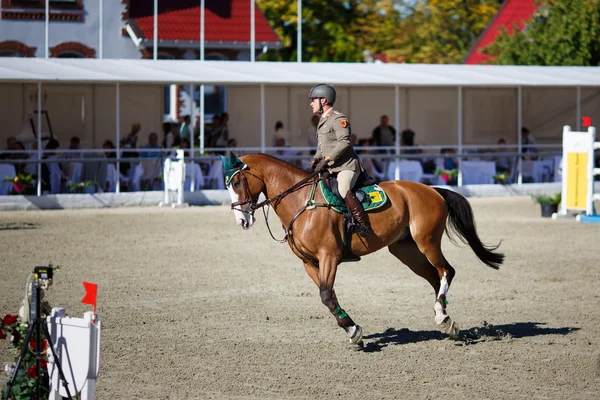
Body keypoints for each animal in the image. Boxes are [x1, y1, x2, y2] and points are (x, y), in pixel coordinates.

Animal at [223, 153, 504, 346]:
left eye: (236, 182)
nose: (241, 220)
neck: (302, 202)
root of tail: (432, 190)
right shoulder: (310, 263)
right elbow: (330, 296)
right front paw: (350, 328)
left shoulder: (329, 256)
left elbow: (326, 295)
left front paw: (353, 330)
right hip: (405, 251)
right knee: (436, 278)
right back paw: (444, 318)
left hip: (427, 241)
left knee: (447, 271)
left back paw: (442, 316)